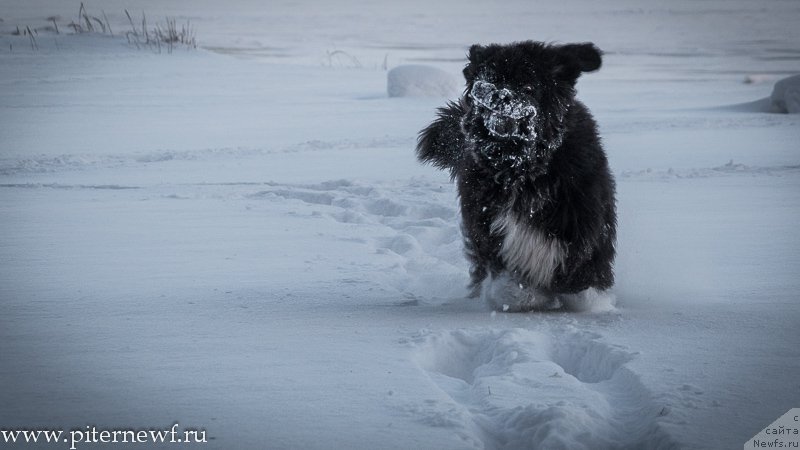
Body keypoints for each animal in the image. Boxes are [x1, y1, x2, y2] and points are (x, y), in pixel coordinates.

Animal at [416, 41, 616, 310]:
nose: (500, 94)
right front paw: (527, 295)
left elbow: (582, 268)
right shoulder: (488, 226)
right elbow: (512, 283)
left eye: (527, 85)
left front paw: (586, 296)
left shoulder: (581, 216)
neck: (520, 165)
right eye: (489, 78)